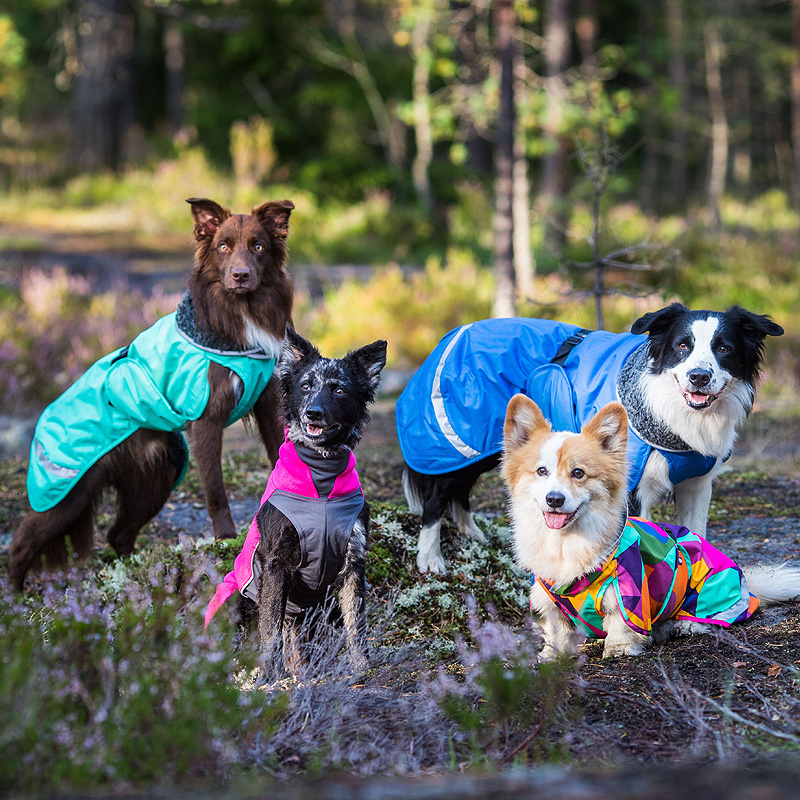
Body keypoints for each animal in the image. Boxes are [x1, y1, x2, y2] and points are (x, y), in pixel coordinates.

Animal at [7, 198, 296, 592]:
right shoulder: (207, 419)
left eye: (259, 246)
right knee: (21, 544)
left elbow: (279, 460)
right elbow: (216, 491)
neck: (238, 313)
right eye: (223, 246)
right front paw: (226, 540)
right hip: (66, 492)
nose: (240, 275)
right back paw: (16, 597)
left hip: (157, 478)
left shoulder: (268, 405)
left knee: (118, 534)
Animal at [208, 328, 390, 680]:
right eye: (305, 386)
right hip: (233, 601)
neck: (321, 480)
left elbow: (356, 624)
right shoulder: (275, 562)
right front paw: (267, 673)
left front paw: (361, 667)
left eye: (339, 389)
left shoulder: (353, 562)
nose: (313, 413)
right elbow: (270, 629)